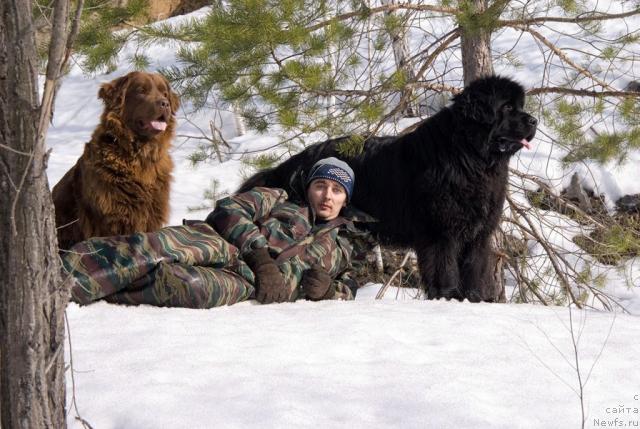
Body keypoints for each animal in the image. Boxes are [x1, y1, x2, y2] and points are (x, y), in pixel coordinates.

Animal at [52, 72, 180, 249]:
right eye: (141, 91)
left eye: (165, 93)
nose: (165, 103)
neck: (139, 158)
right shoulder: (112, 218)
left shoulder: (151, 216)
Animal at [239, 76, 536, 300]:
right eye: (507, 108)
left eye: (519, 106)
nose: (533, 121)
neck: (468, 157)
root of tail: (292, 163)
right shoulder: (440, 232)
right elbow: (445, 268)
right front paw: (449, 296)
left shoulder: (478, 232)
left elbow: (475, 268)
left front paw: (475, 298)